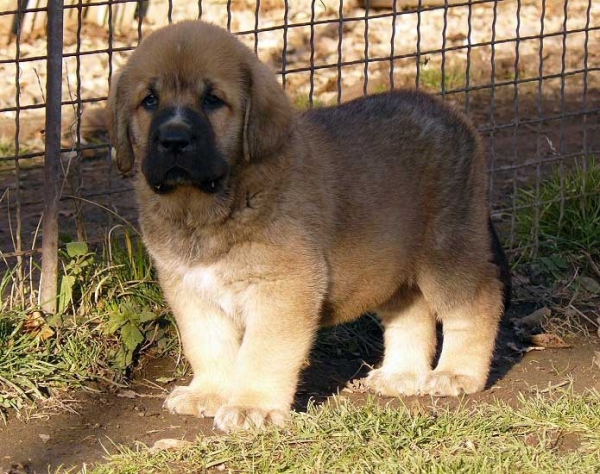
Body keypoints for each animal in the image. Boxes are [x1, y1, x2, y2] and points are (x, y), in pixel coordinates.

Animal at [106, 20, 506, 432]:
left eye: (213, 100)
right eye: (149, 100)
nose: (174, 139)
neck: (205, 209)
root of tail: (450, 111)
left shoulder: (283, 287)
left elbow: (262, 352)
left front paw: (252, 406)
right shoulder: (191, 289)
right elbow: (207, 344)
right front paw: (209, 392)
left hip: (448, 247)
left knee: (480, 302)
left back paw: (458, 373)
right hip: (394, 264)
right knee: (414, 312)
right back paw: (402, 375)